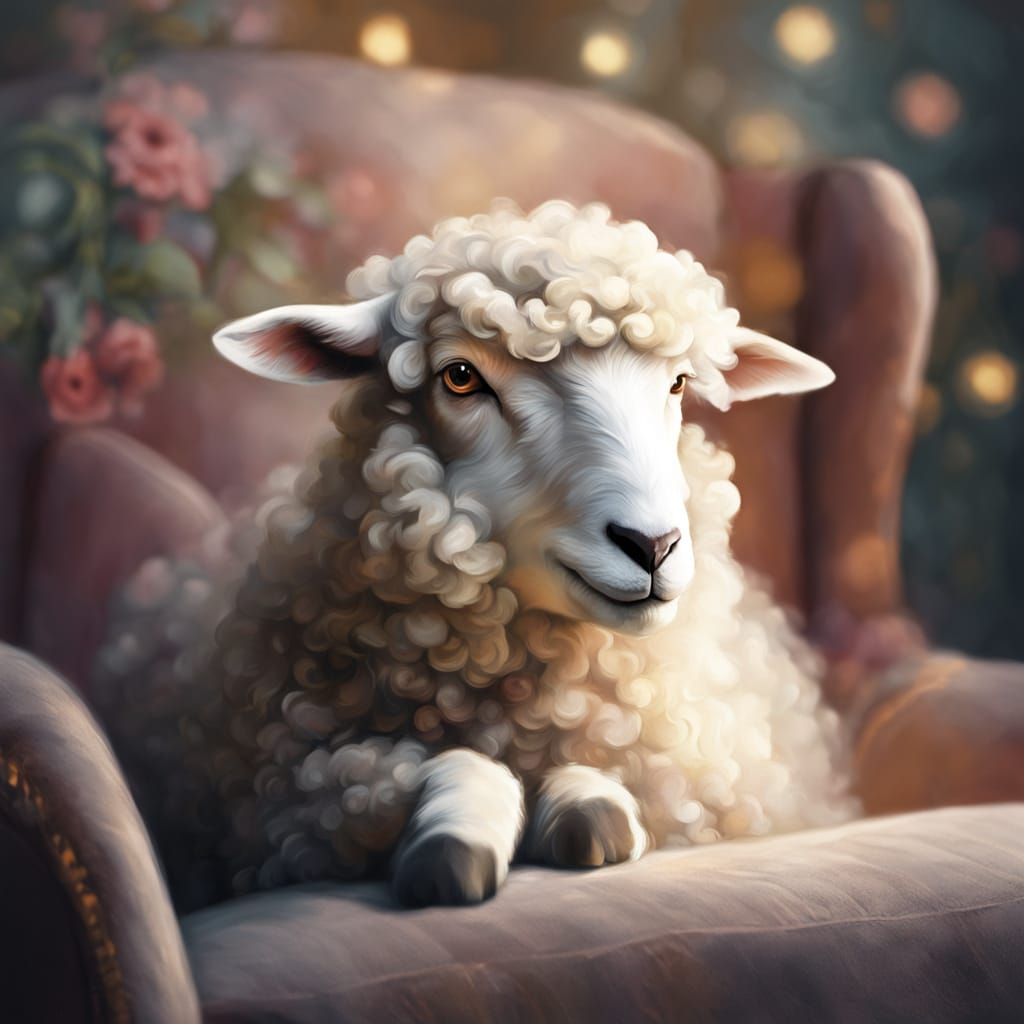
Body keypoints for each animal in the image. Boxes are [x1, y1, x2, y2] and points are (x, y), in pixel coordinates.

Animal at [95, 199, 858, 910]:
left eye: (677, 384)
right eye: (459, 377)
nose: (653, 545)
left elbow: (608, 792)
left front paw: (590, 814)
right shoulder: (277, 799)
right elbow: (421, 776)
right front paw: (455, 843)